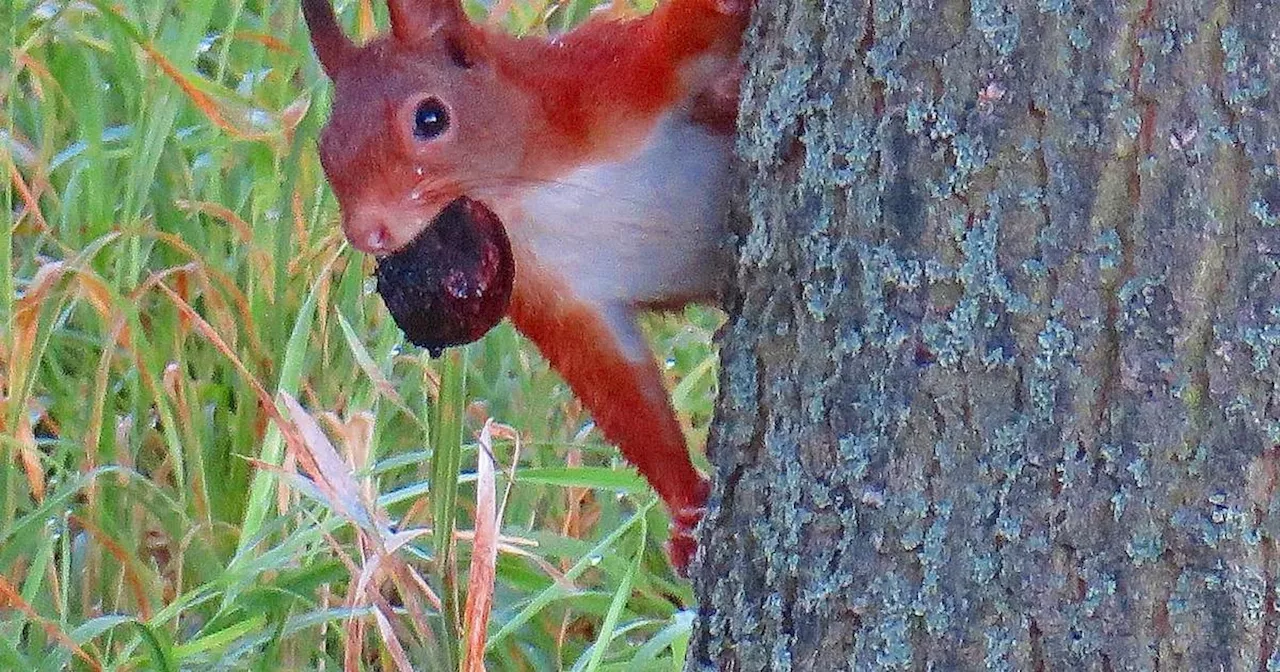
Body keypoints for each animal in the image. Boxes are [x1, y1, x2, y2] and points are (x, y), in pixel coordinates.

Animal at [303, 0, 747, 570]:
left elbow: (683, 41)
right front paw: (686, 505)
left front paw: (724, 10)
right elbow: (620, 388)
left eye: (430, 118)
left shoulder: (608, 82)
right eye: (325, 149)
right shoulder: (551, 294)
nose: (366, 233)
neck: (526, 188)